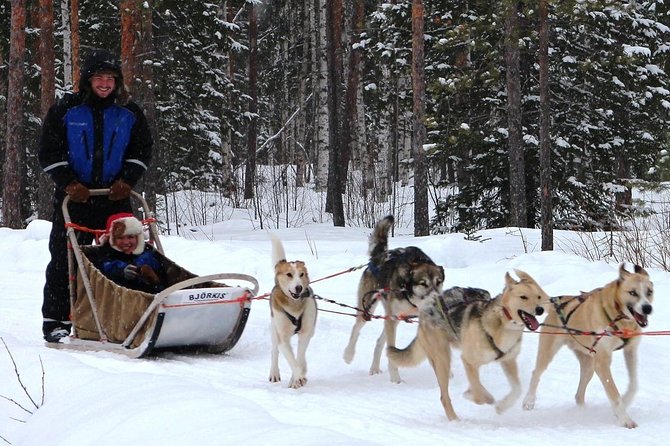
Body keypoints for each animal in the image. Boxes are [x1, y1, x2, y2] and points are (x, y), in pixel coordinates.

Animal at [268, 235, 318, 388]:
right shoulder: (283, 338)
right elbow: (291, 359)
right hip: (274, 329)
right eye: (289, 274)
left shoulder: (305, 333)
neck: (294, 306)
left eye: (301, 274)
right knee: (275, 352)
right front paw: (299, 377)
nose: (299, 288)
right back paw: (274, 373)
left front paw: (296, 378)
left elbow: (299, 358)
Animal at [346, 214, 446, 382]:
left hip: (394, 318)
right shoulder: (391, 319)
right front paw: (396, 380)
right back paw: (348, 354)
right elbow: (392, 354)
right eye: (423, 283)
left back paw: (374, 368)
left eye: (439, 282)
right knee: (356, 329)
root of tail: (378, 256)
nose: (437, 300)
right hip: (370, 309)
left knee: (380, 342)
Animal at [388, 272, 552, 422]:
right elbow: (479, 393)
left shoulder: (508, 361)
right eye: (523, 297)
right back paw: (454, 420)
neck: (502, 322)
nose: (539, 310)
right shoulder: (468, 361)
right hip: (443, 361)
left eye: (538, 297)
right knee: (444, 397)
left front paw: (501, 406)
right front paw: (478, 396)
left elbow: (517, 389)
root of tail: (425, 310)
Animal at [524, 264, 656, 428]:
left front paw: (625, 401)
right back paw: (528, 401)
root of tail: (558, 303)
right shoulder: (602, 363)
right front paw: (625, 419)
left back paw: (581, 412)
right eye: (633, 292)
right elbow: (614, 393)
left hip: (589, 366)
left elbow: (634, 384)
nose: (647, 308)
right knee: (536, 372)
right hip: (549, 352)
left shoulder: (630, 351)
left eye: (649, 292)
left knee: (579, 394)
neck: (618, 317)